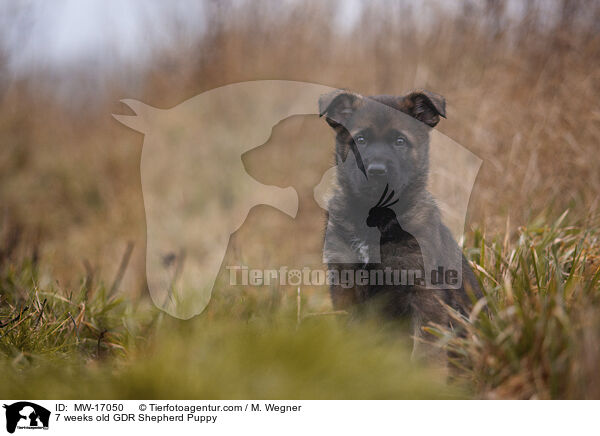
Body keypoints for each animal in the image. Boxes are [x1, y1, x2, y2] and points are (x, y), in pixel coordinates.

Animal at [318, 88, 482, 362]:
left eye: (400, 141)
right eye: (360, 139)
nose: (376, 171)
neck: (376, 218)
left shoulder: (423, 292)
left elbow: (426, 350)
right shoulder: (344, 285)